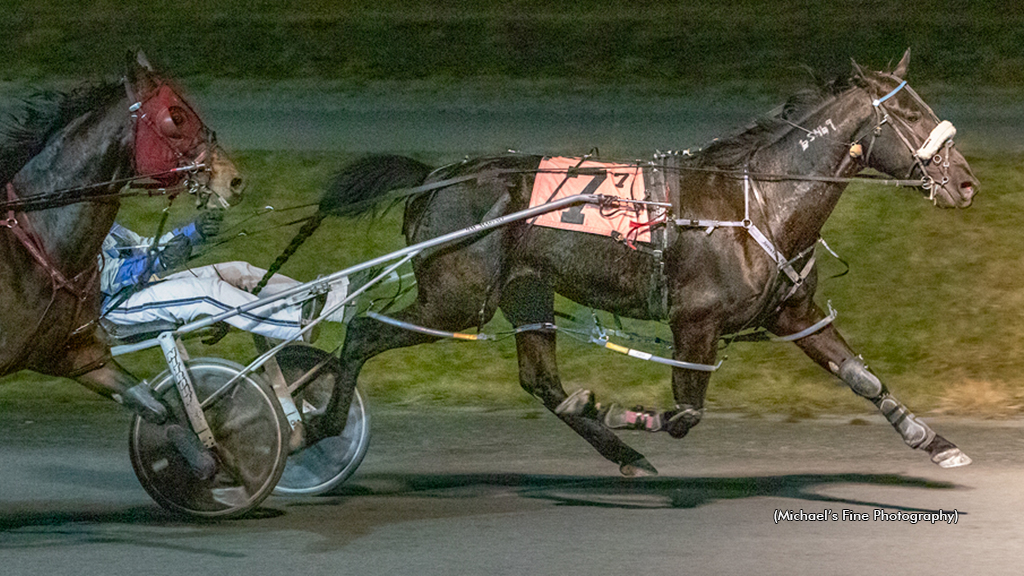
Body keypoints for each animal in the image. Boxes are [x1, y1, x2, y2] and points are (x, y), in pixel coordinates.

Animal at [311, 51, 974, 475]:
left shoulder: (792, 312)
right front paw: (623, 410)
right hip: (457, 297)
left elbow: (862, 377)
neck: (756, 203)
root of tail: (436, 177)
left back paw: (617, 448)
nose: (966, 183)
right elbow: (685, 412)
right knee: (363, 329)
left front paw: (933, 440)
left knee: (541, 381)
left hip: (525, 289)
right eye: (909, 115)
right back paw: (321, 426)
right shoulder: (695, 321)